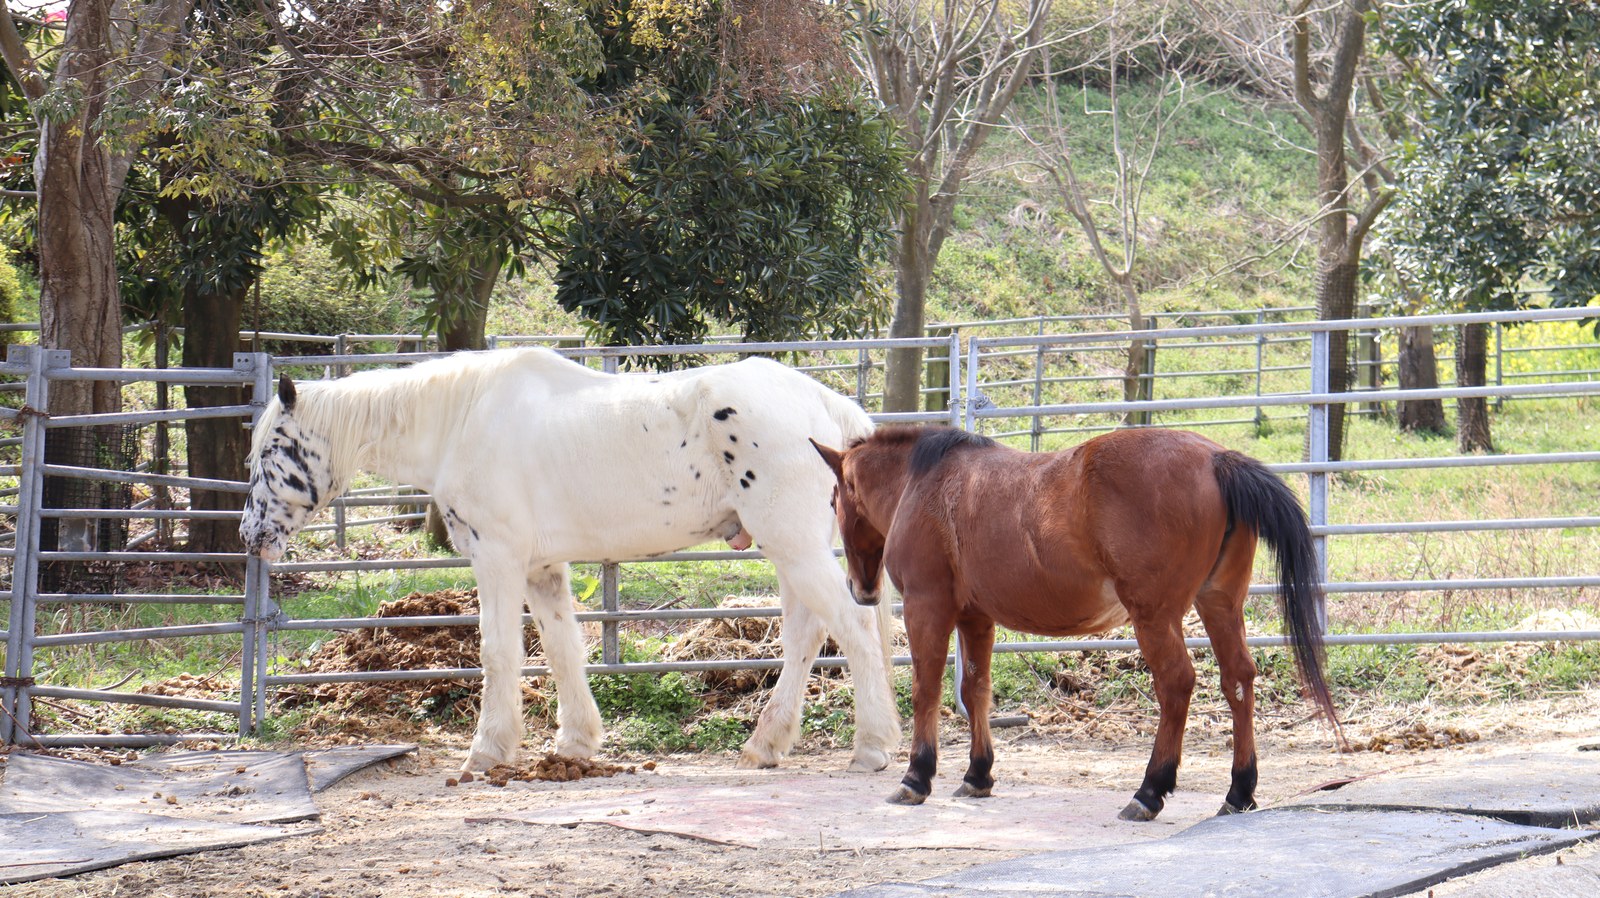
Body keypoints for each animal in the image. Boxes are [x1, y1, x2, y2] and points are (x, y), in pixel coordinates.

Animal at [240, 347, 900, 773]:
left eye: (271, 451)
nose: (251, 535)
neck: (463, 419)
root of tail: (825, 407)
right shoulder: (540, 569)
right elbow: (562, 650)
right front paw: (575, 743)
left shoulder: (498, 560)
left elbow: (498, 652)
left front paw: (488, 750)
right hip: (791, 551)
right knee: (807, 637)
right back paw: (767, 745)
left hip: (794, 545)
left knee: (853, 631)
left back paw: (871, 748)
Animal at [811, 426, 1337, 820]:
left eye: (835, 501)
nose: (862, 589)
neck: (926, 484)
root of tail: (1216, 459)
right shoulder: (976, 617)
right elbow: (975, 689)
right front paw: (978, 774)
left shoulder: (929, 607)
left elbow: (926, 689)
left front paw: (917, 777)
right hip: (1219, 604)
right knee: (1238, 680)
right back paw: (1239, 791)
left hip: (1155, 616)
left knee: (1177, 684)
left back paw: (1149, 791)